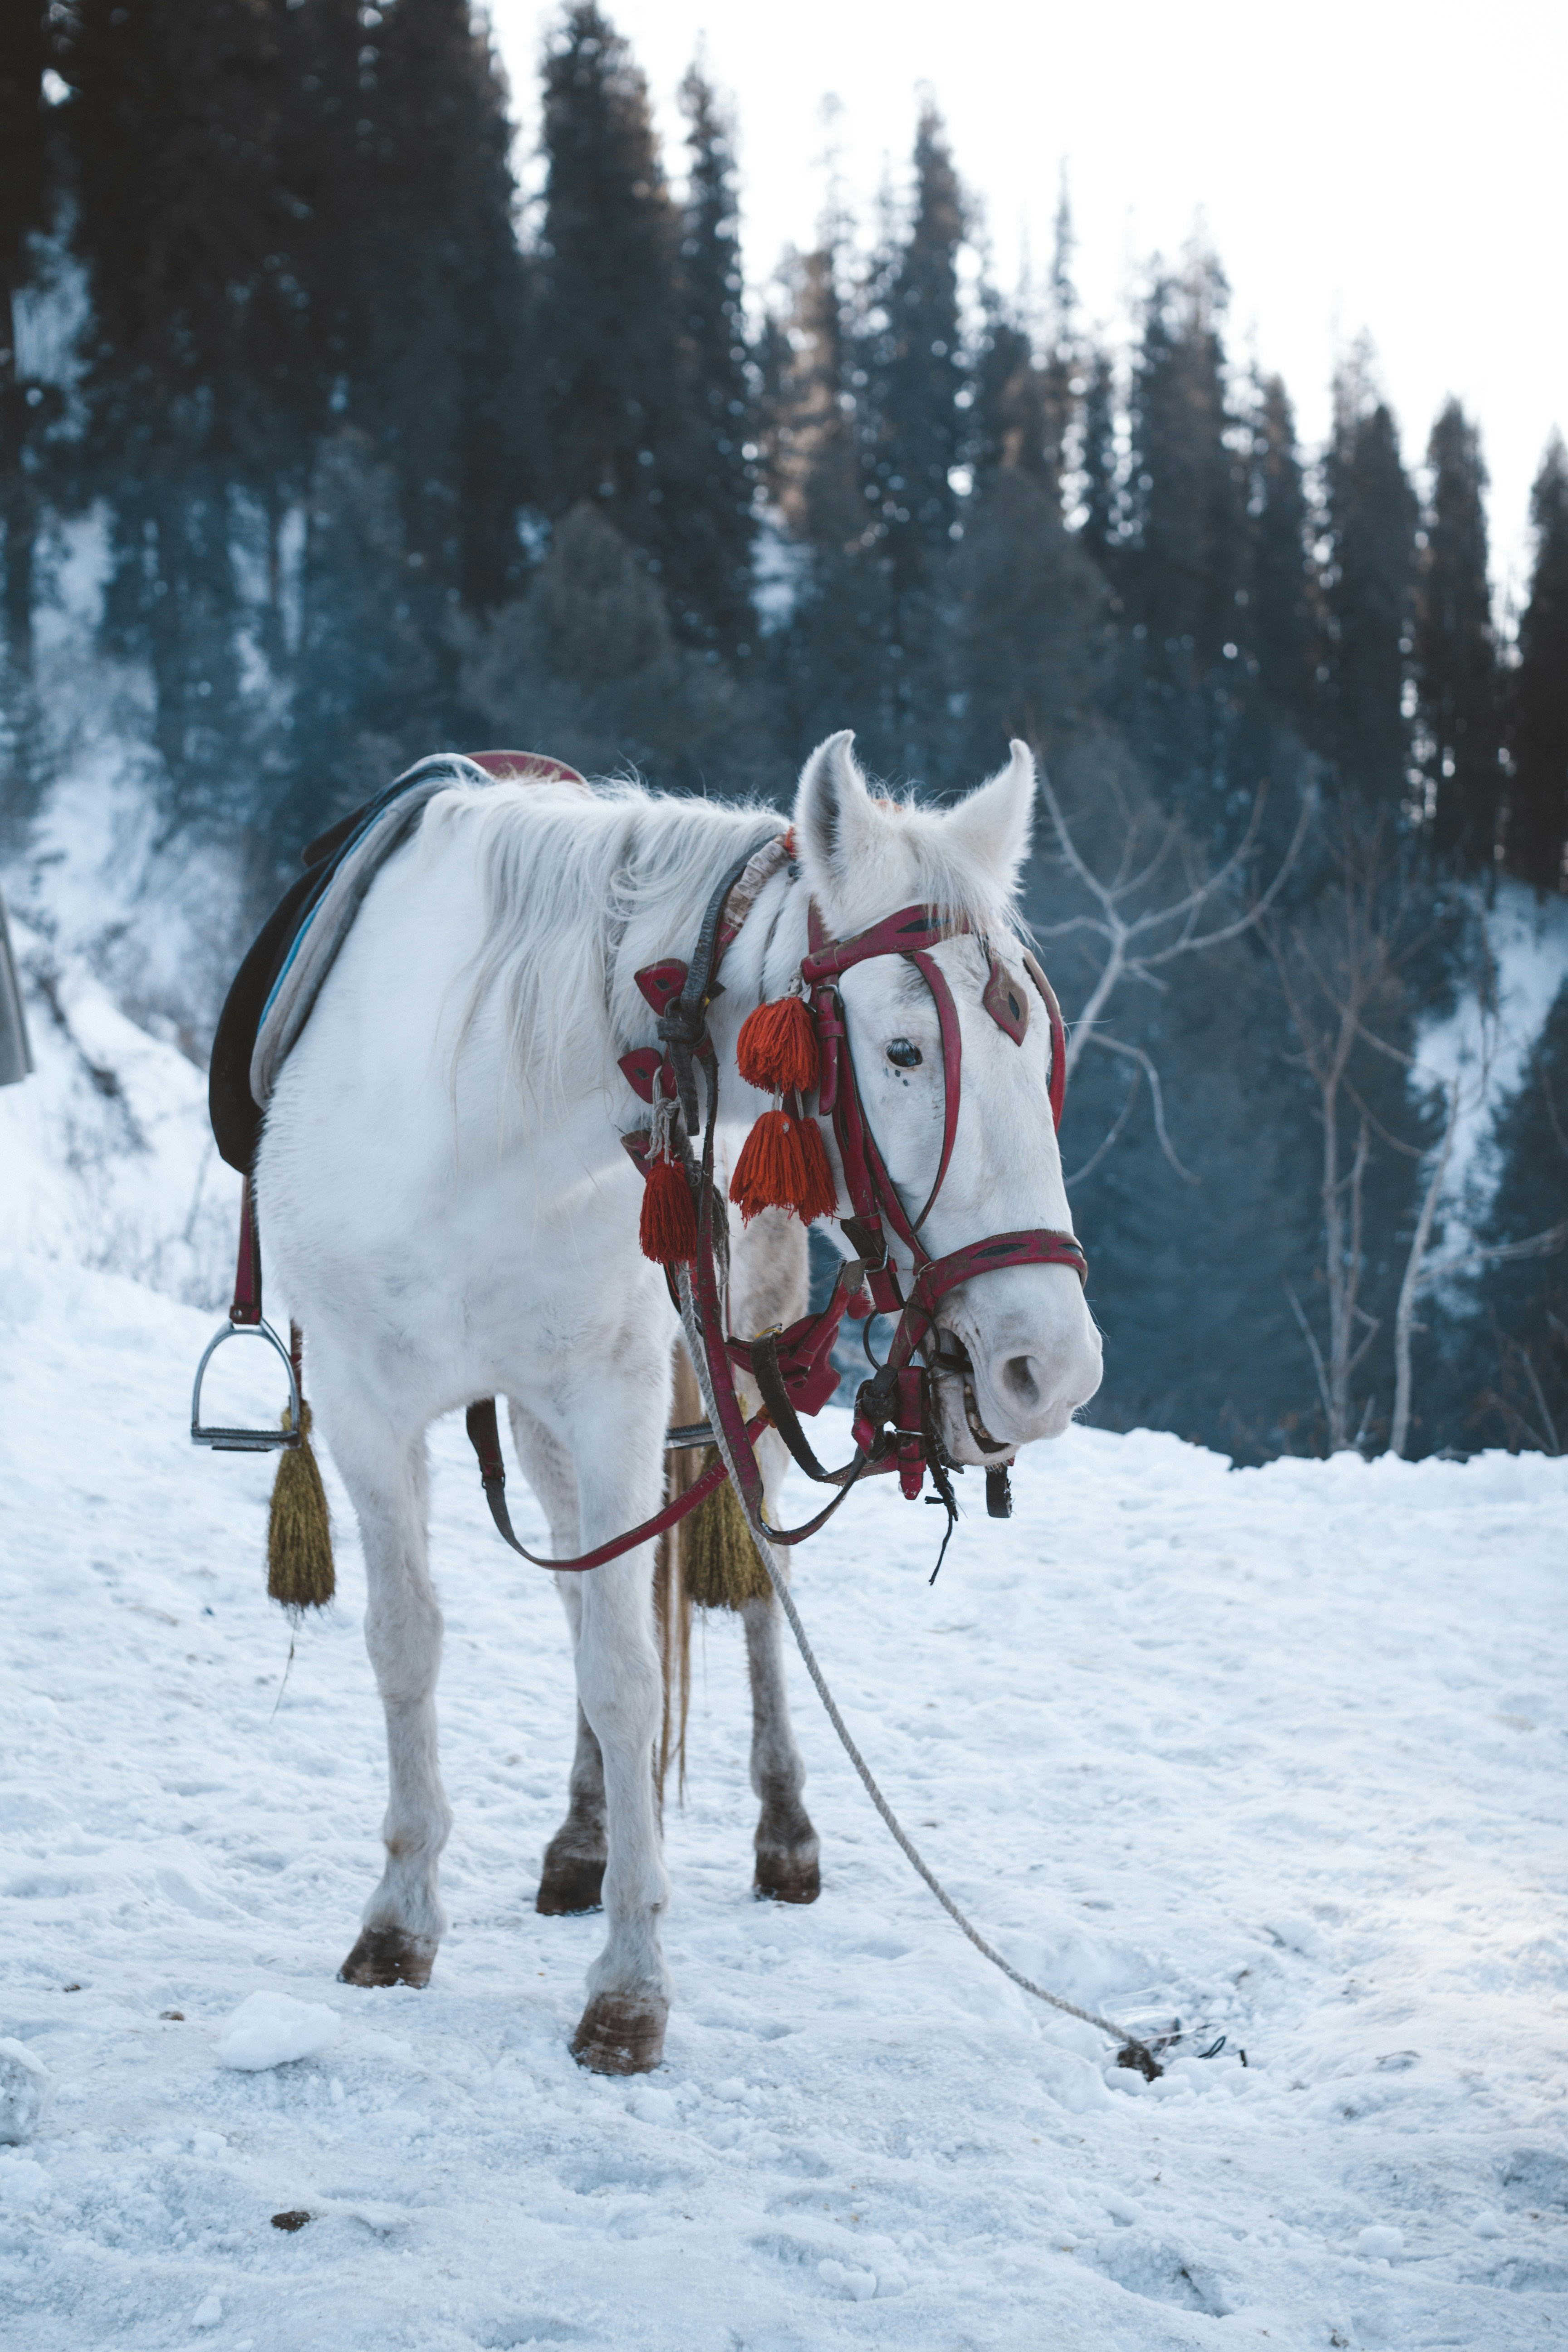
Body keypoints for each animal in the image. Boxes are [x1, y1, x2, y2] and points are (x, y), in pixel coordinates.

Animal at [255, 730, 1103, 2074]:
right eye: (904, 1050)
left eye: (1035, 1054)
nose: (1052, 1368)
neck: (486, 1115)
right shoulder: (360, 1397)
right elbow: (411, 1642)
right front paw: (399, 1917)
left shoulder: (610, 1393)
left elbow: (625, 1670)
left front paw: (629, 1985)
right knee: (576, 1583)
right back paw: (584, 1834)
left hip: (723, 1353)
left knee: (752, 1581)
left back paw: (780, 1825)